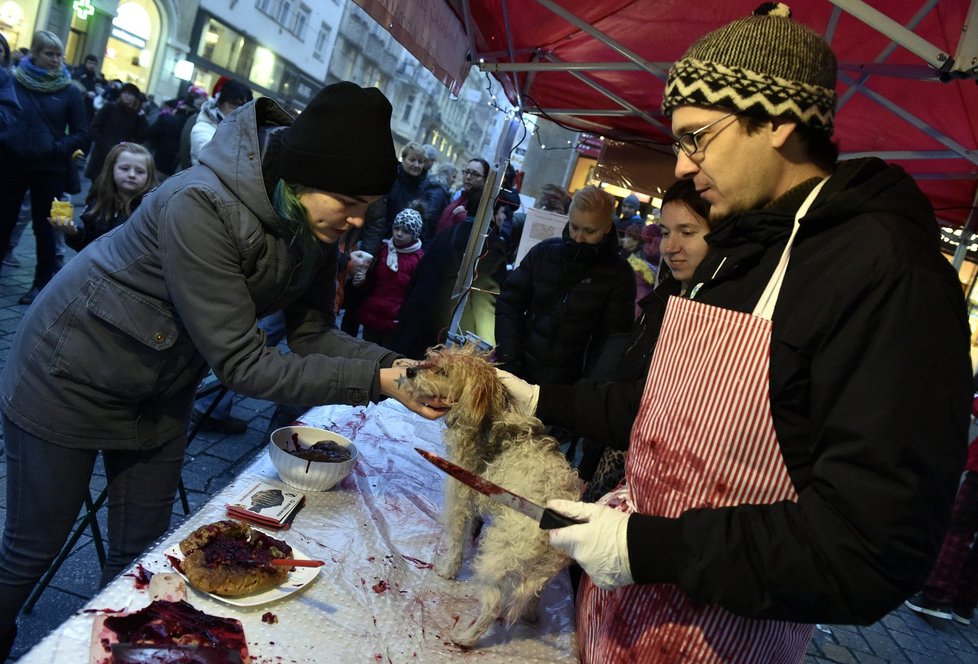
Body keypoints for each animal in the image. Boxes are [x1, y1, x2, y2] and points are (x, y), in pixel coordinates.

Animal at [398, 344, 580, 644]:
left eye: (444, 372)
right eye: (431, 359)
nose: (410, 370)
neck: (489, 417)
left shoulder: (460, 497)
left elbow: (457, 540)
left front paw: (448, 570)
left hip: (498, 554)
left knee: (494, 604)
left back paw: (466, 638)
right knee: (534, 593)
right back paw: (531, 615)